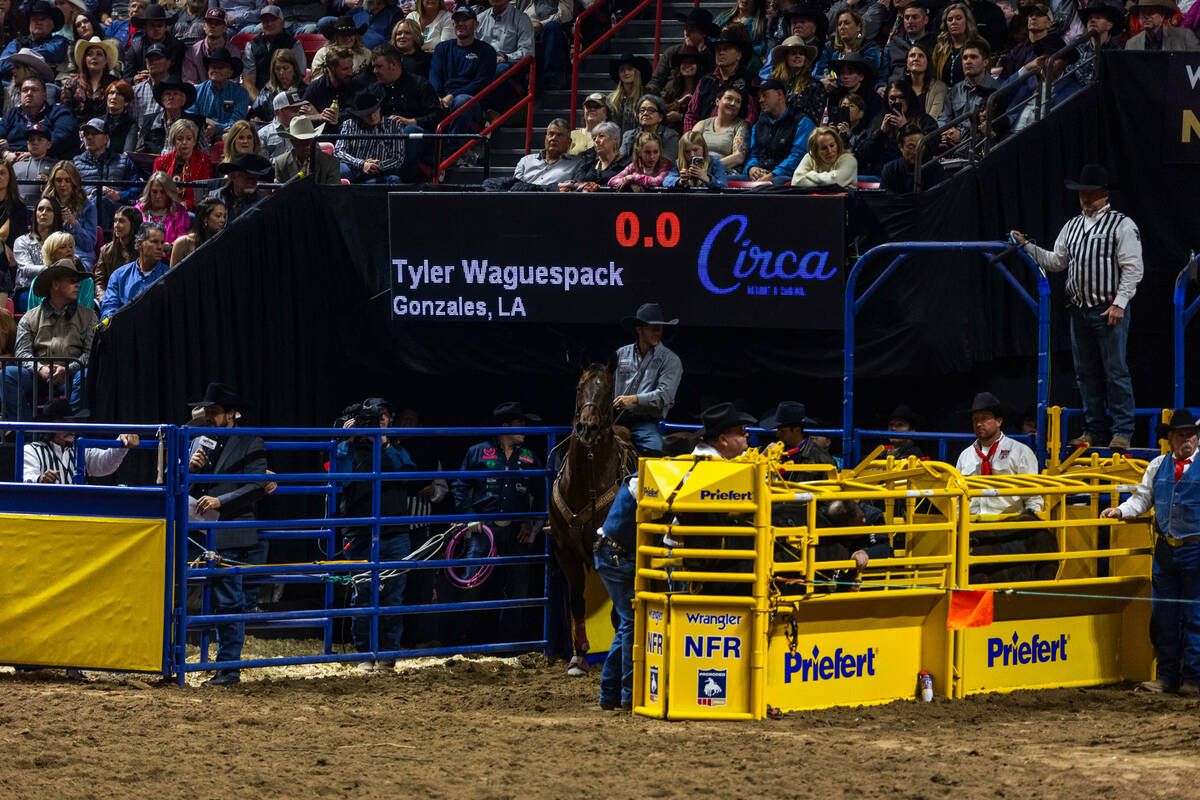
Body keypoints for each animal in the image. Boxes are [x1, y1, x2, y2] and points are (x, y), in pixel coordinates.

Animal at [549, 362, 638, 676]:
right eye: (579, 386)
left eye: (608, 390)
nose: (586, 427)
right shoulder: (564, 550)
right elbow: (577, 601)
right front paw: (579, 657)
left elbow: (617, 612)